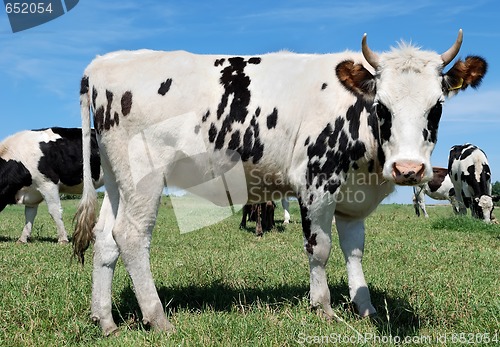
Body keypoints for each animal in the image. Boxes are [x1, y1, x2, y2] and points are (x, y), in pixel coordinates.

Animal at [72, 31, 486, 336]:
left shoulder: (352, 198)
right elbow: (320, 249)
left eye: (437, 106)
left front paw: (365, 307)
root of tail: (102, 64)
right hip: (144, 175)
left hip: (117, 179)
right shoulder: (317, 181)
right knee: (131, 236)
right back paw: (158, 319)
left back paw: (105, 319)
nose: (409, 169)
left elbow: (354, 251)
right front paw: (324, 308)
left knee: (105, 238)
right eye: (382, 106)